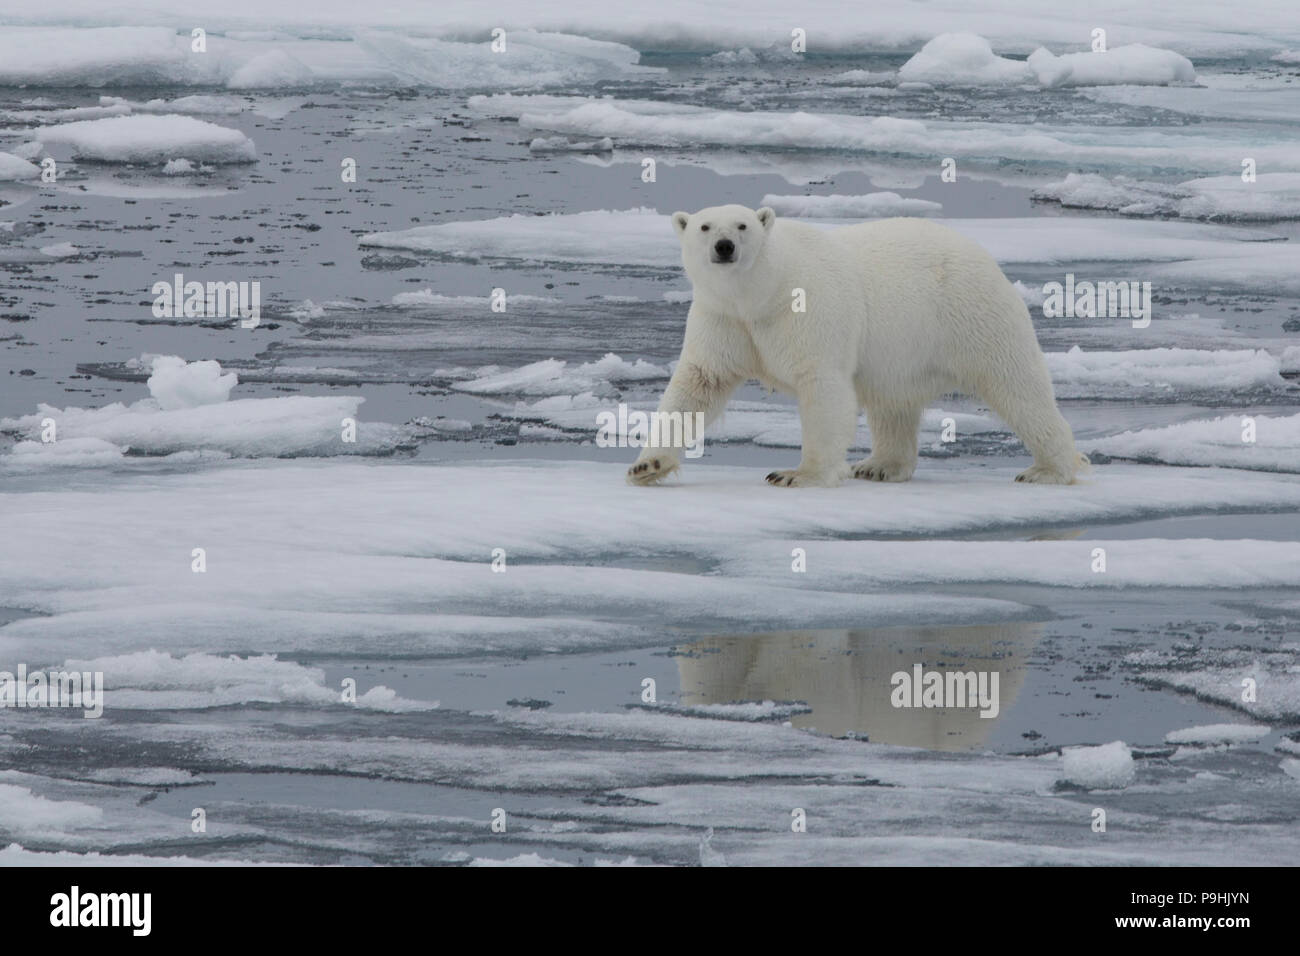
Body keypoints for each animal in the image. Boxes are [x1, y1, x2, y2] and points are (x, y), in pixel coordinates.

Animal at [629, 201, 1086, 486]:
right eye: (705, 226)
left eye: (743, 226)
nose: (724, 247)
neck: (760, 294)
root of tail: (983, 256)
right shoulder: (724, 318)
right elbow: (698, 384)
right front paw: (646, 465)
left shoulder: (805, 311)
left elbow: (822, 387)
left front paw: (797, 474)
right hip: (903, 352)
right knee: (892, 404)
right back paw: (880, 466)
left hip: (970, 313)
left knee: (1016, 386)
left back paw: (1049, 469)